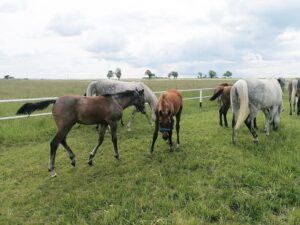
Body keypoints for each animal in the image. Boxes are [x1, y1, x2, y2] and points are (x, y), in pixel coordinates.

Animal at [16, 89, 145, 177]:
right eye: (142, 99)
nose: (143, 110)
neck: (114, 101)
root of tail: (56, 100)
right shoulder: (112, 123)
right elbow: (114, 139)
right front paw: (117, 156)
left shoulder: (103, 123)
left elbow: (100, 140)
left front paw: (90, 159)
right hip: (65, 126)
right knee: (54, 143)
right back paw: (52, 170)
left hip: (67, 126)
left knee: (62, 140)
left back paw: (73, 159)